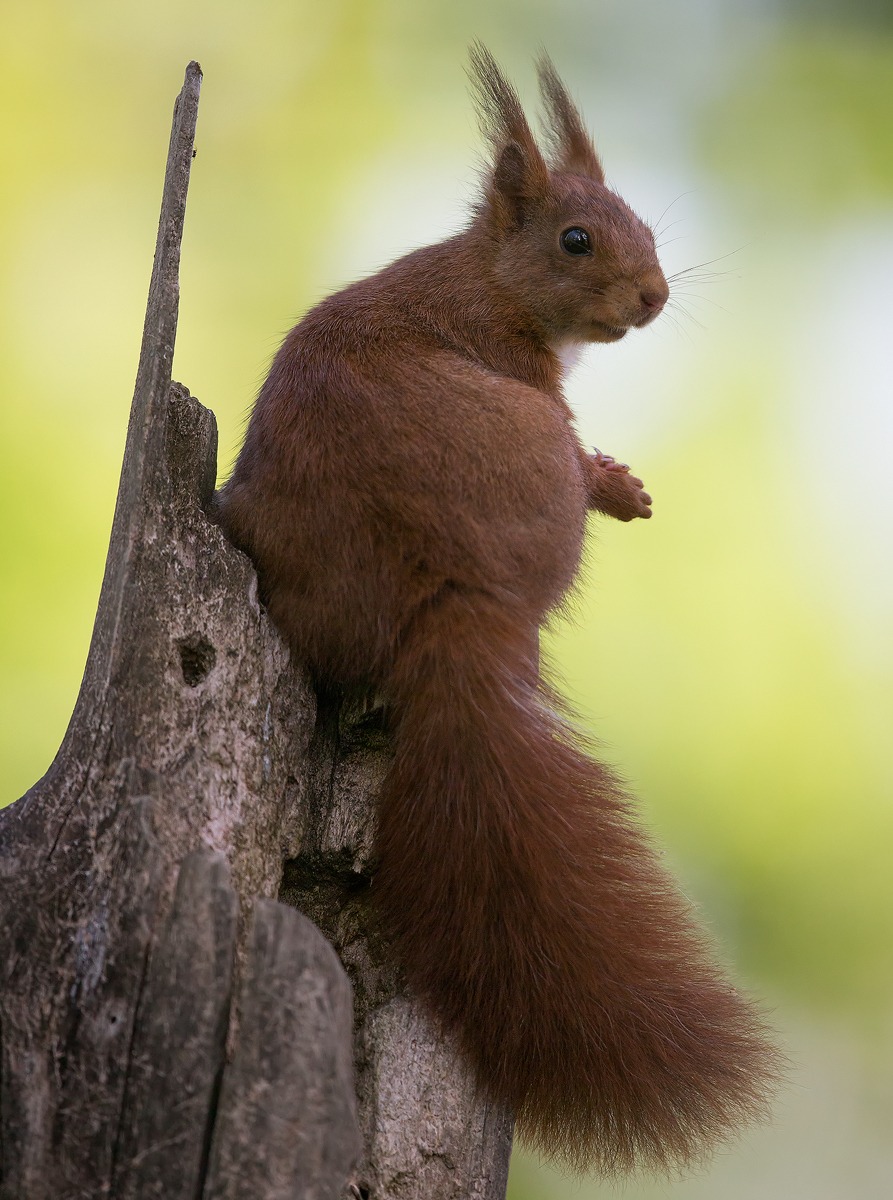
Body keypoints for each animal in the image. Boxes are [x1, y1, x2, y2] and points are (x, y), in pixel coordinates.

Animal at [218, 45, 778, 1174]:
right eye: (575, 240)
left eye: (644, 224)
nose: (652, 295)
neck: (482, 274)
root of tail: (449, 594)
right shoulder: (515, 361)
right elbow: (570, 425)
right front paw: (613, 483)